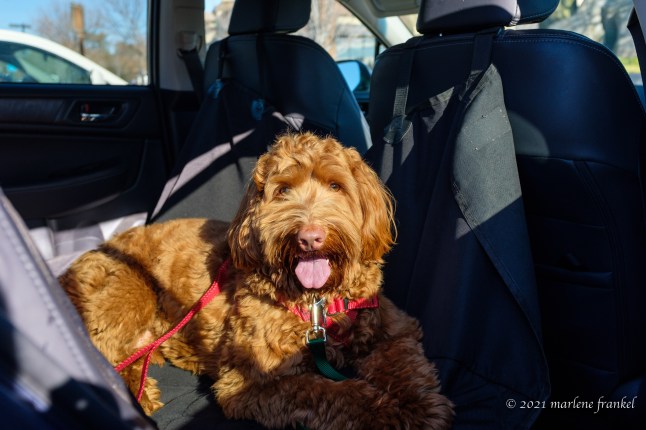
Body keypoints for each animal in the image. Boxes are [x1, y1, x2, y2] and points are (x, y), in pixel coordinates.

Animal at [59, 132, 454, 429]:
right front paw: (384, 411)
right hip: (129, 287)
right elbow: (330, 392)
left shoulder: (393, 327)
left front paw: (419, 407)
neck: (317, 303)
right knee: (103, 348)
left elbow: (404, 362)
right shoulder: (250, 382)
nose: (309, 237)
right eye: (283, 191)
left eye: (336, 185)